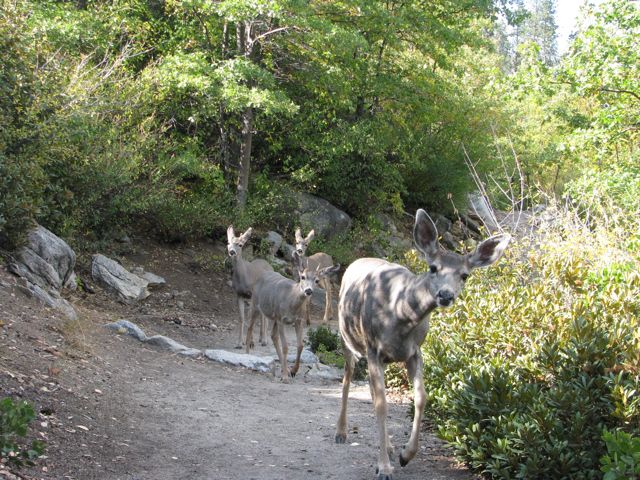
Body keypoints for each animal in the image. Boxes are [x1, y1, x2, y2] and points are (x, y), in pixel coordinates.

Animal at [245, 251, 340, 382]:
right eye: (303, 277)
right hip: (255, 305)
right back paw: (247, 354)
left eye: (316, 280)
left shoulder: (298, 320)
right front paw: (285, 376)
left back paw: (283, 368)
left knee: (273, 336)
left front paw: (293, 371)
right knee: (250, 327)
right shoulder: (281, 319)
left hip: (274, 316)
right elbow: (285, 346)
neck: (291, 301)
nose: (308, 291)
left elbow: (300, 345)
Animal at [334, 209, 510, 480]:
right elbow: (382, 404)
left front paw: (405, 455)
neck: (400, 313)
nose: (446, 295)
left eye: (464, 275)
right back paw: (341, 432)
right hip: (348, 337)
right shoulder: (374, 348)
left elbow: (420, 398)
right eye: (433, 267)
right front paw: (384, 468)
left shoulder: (414, 352)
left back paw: (389, 446)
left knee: (372, 390)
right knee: (347, 377)